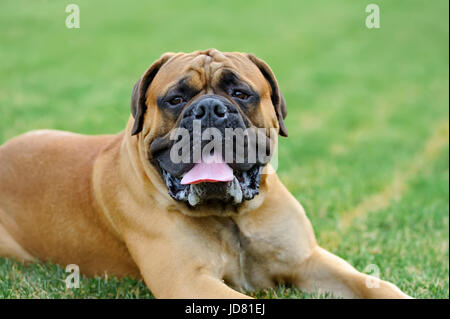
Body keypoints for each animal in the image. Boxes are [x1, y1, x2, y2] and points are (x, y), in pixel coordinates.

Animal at [0, 48, 412, 298]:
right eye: (176, 99)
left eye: (241, 93)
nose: (211, 108)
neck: (229, 215)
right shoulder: (189, 282)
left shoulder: (309, 260)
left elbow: (374, 284)